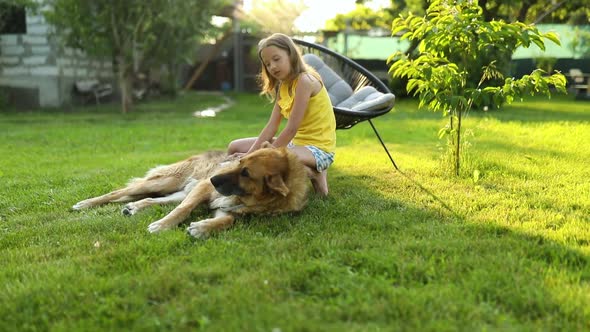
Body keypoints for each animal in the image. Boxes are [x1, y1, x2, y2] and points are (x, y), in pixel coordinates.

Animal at [74, 143, 310, 239]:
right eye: (239, 162)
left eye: (246, 173)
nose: (214, 178)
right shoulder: (204, 189)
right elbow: (183, 210)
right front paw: (162, 225)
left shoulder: (229, 208)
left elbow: (227, 220)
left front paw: (203, 228)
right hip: (167, 182)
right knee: (117, 193)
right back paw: (85, 204)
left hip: (182, 191)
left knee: (151, 200)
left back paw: (133, 207)